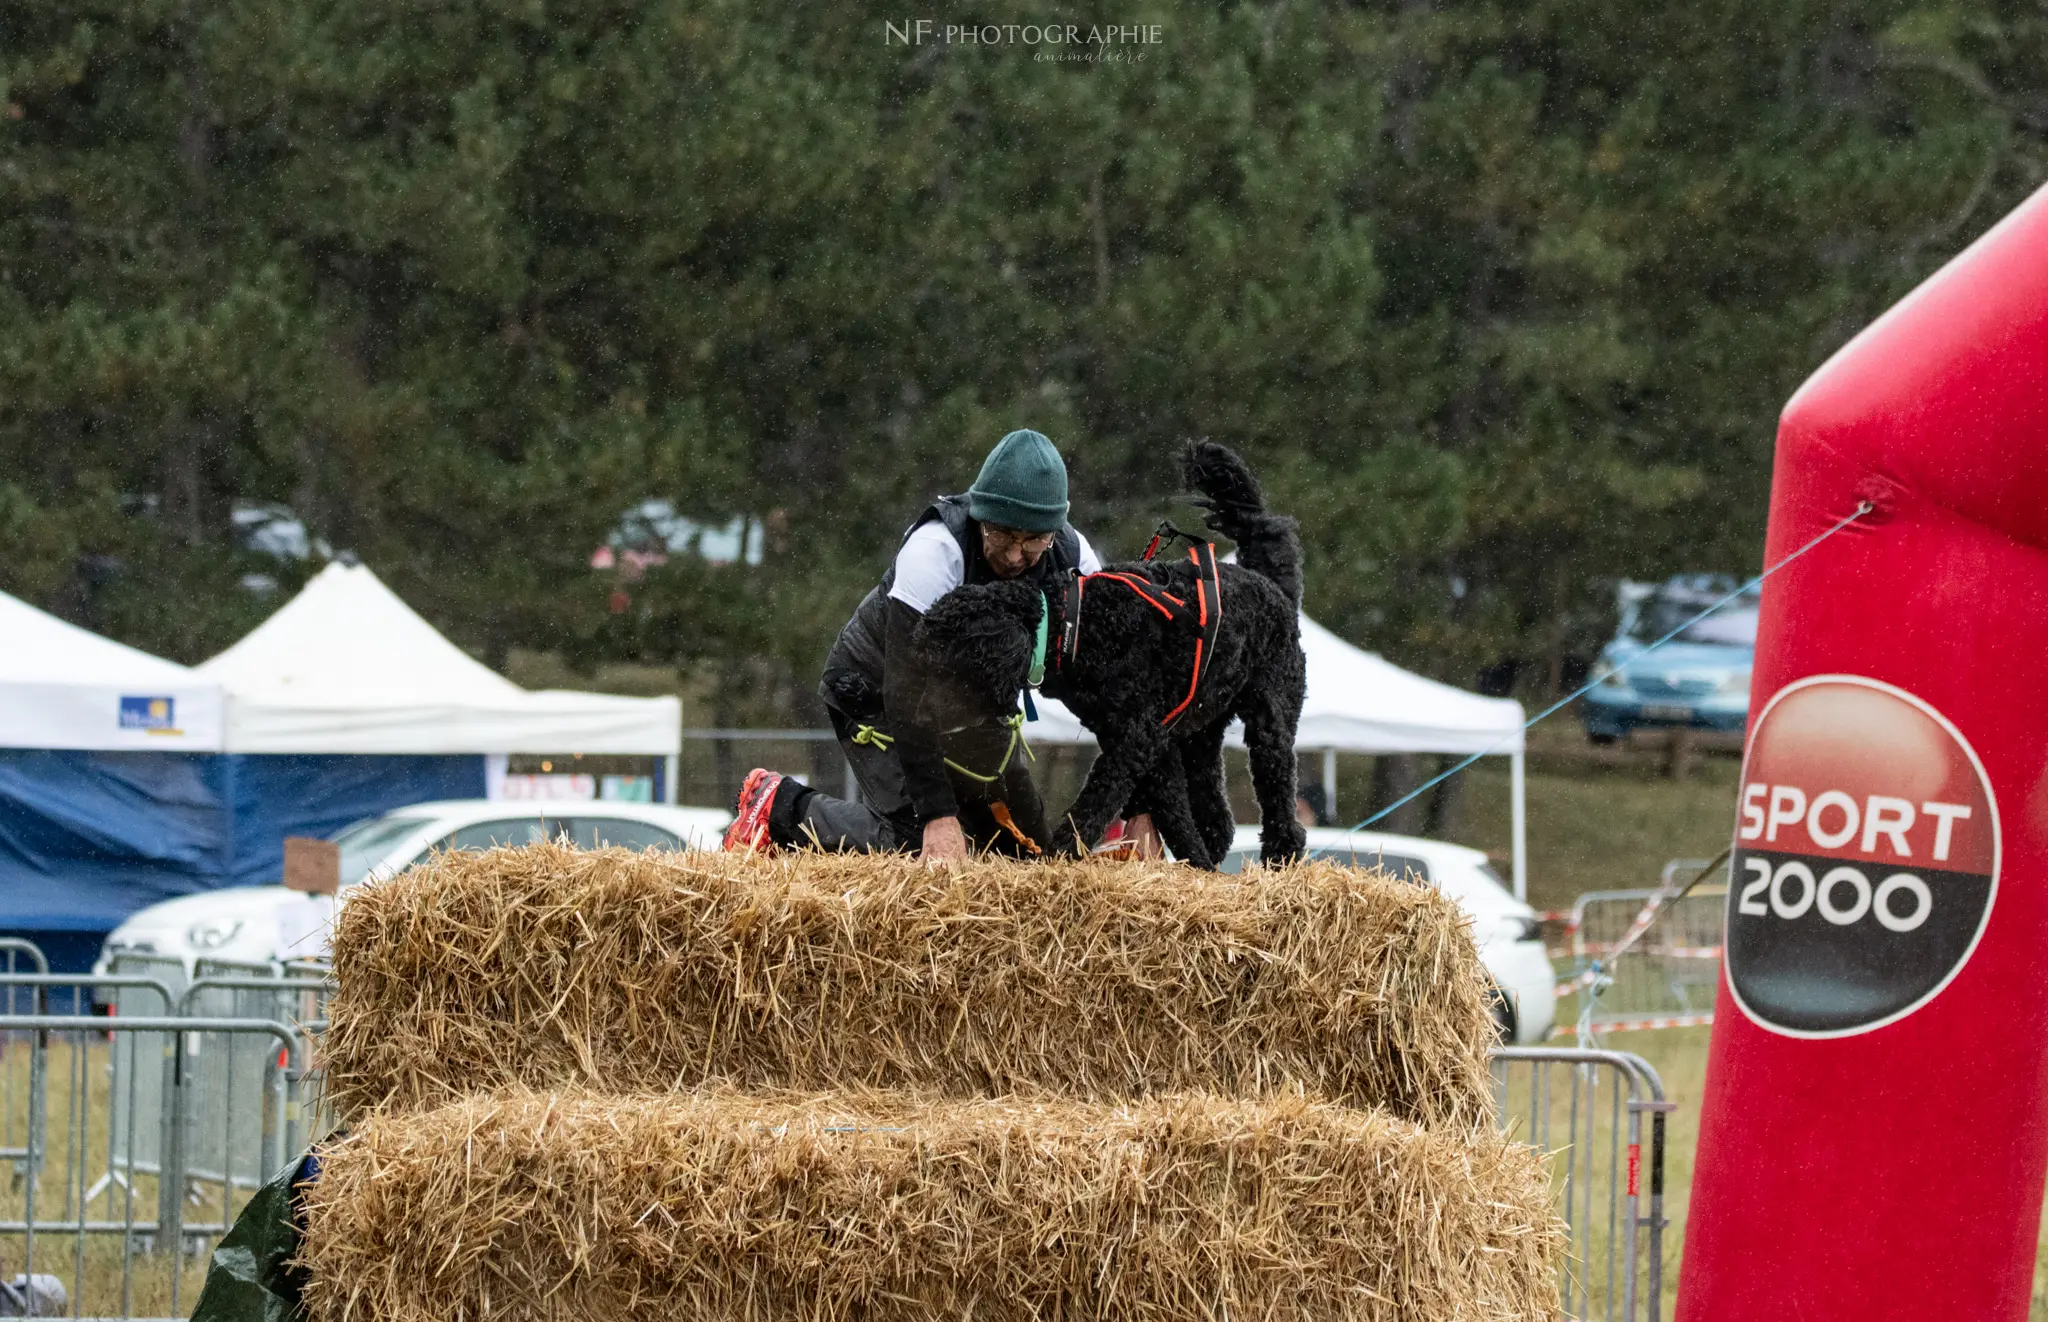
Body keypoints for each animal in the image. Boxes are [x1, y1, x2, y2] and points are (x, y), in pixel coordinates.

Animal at [917, 439, 1302, 863]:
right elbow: (1172, 811)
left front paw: (1061, 851)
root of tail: (1272, 584)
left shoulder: (1135, 736)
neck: (1071, 623)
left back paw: (1282, 853)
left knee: (1279, 792)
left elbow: (1095, 805)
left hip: (1271, 721)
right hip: (1202, 732)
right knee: (1216, 809)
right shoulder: (1150, 738)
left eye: (945, 663)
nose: (919, 716)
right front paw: (1194, 864)